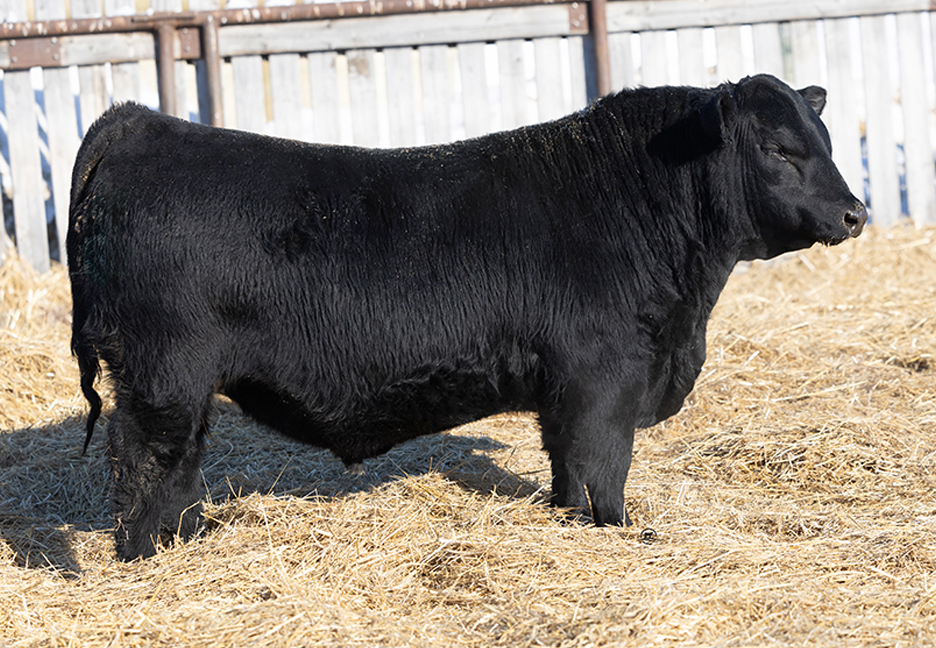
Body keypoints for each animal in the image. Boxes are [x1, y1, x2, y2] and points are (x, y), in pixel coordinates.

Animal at [68, 74, 866, 560]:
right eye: (779, 148)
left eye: (825, 141)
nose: (855, 212)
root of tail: (138, 122)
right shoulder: (605, 377)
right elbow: (603, 466)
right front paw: (621, 532)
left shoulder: (567, 389)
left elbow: (566, 465)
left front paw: (568, 522)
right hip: (162, 374)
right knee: (145, 463)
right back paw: (149, 555)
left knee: (175, 467)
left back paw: (188, 541)